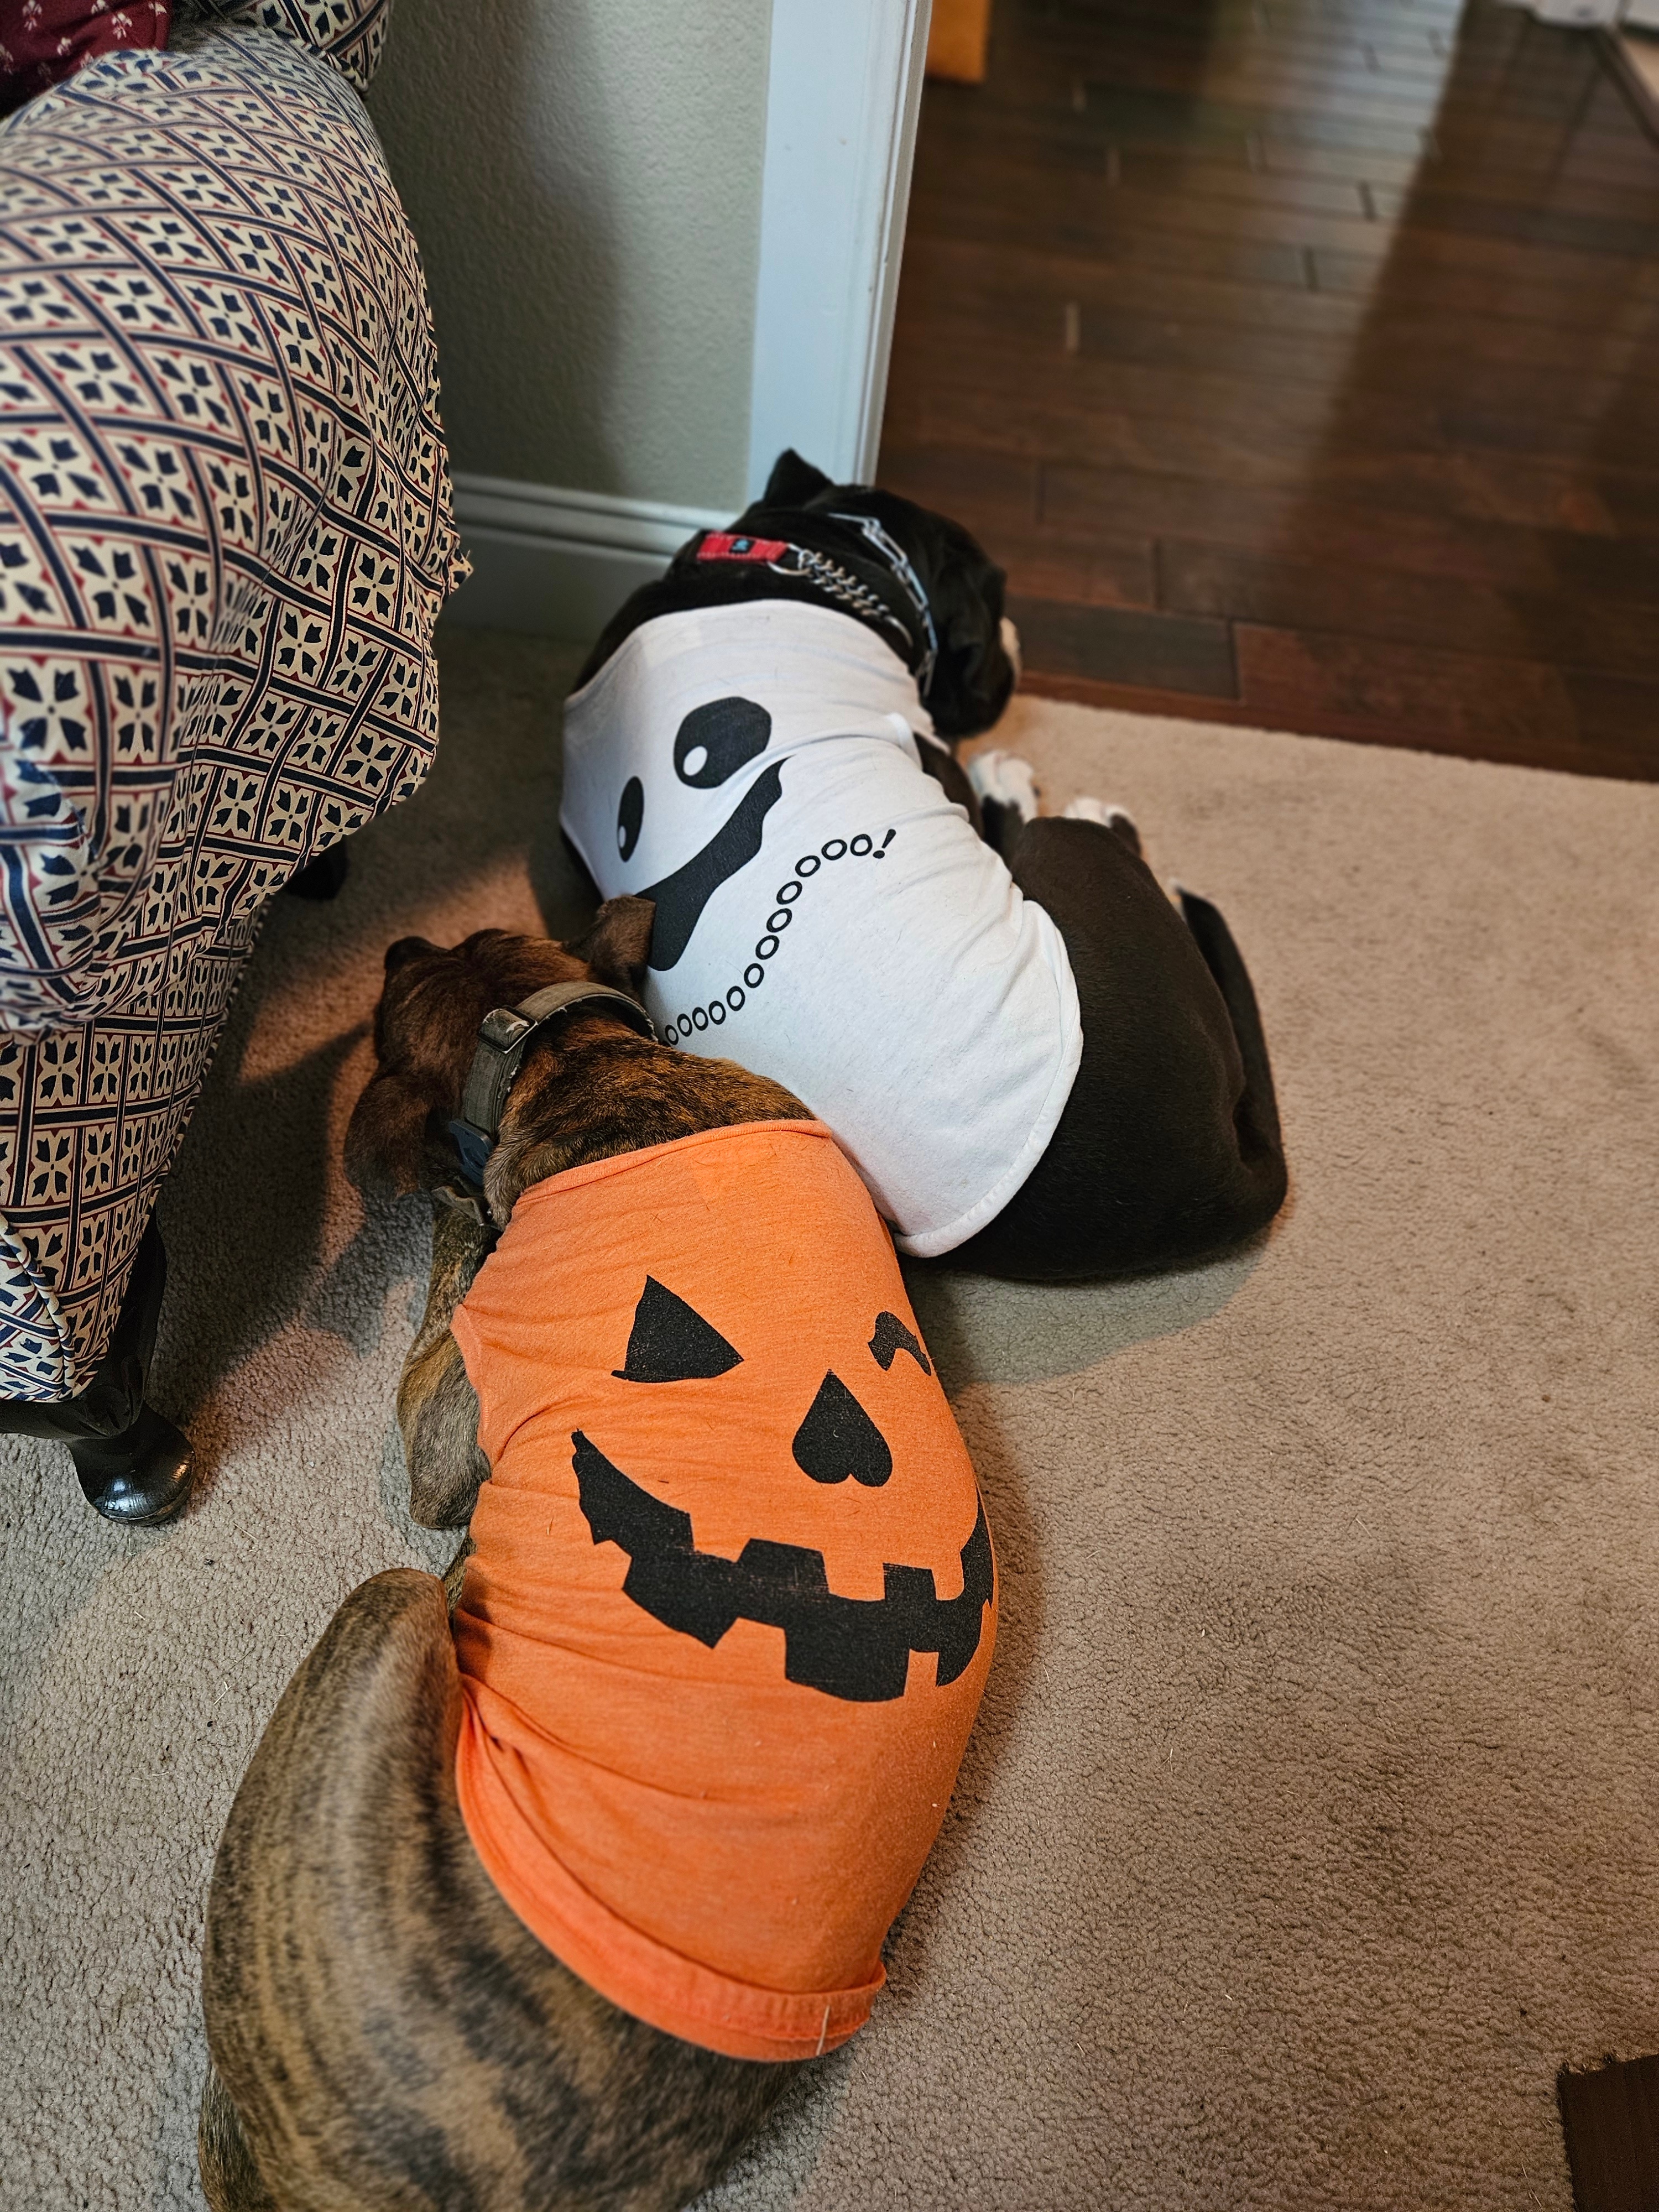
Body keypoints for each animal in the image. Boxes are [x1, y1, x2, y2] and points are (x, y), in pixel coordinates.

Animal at [200, 898, 814, 2212]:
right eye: (467, 930)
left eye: (391, 1000)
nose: (395, 942)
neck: (569, 1055)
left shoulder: (443, 1436)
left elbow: (449, 1265)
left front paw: (452, 1200)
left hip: (383, 1612)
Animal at [571, 449, 1283, 1283]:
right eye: (996, 601)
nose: (1017, 638)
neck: (815, 554)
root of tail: (1210, 1187)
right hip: (1072, 857)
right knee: (1063, 829)